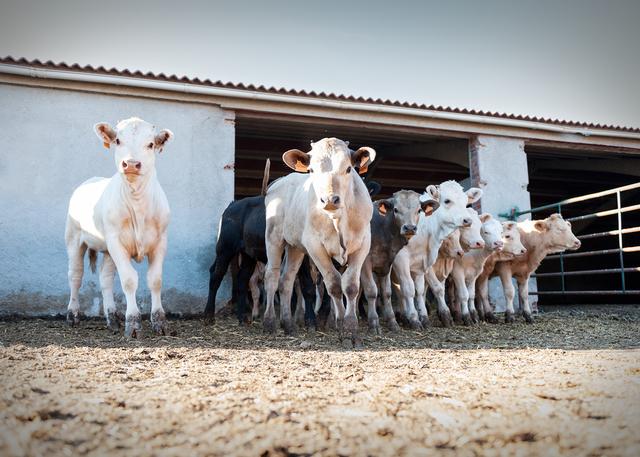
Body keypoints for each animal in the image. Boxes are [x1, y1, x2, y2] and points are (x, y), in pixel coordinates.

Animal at [264, 138, 376, 346]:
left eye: (349, 168)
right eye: (312, 170)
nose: (330, 199)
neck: (339, 220)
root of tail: (280, 181)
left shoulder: (363, 245)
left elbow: (351, 286)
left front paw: (350, 329)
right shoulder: (315, 247)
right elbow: (333, 284)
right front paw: (342, 326)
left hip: (295, 247)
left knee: (286, 280)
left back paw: (288, 324)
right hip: (273, 237)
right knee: (272, 277)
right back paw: (269, 322)